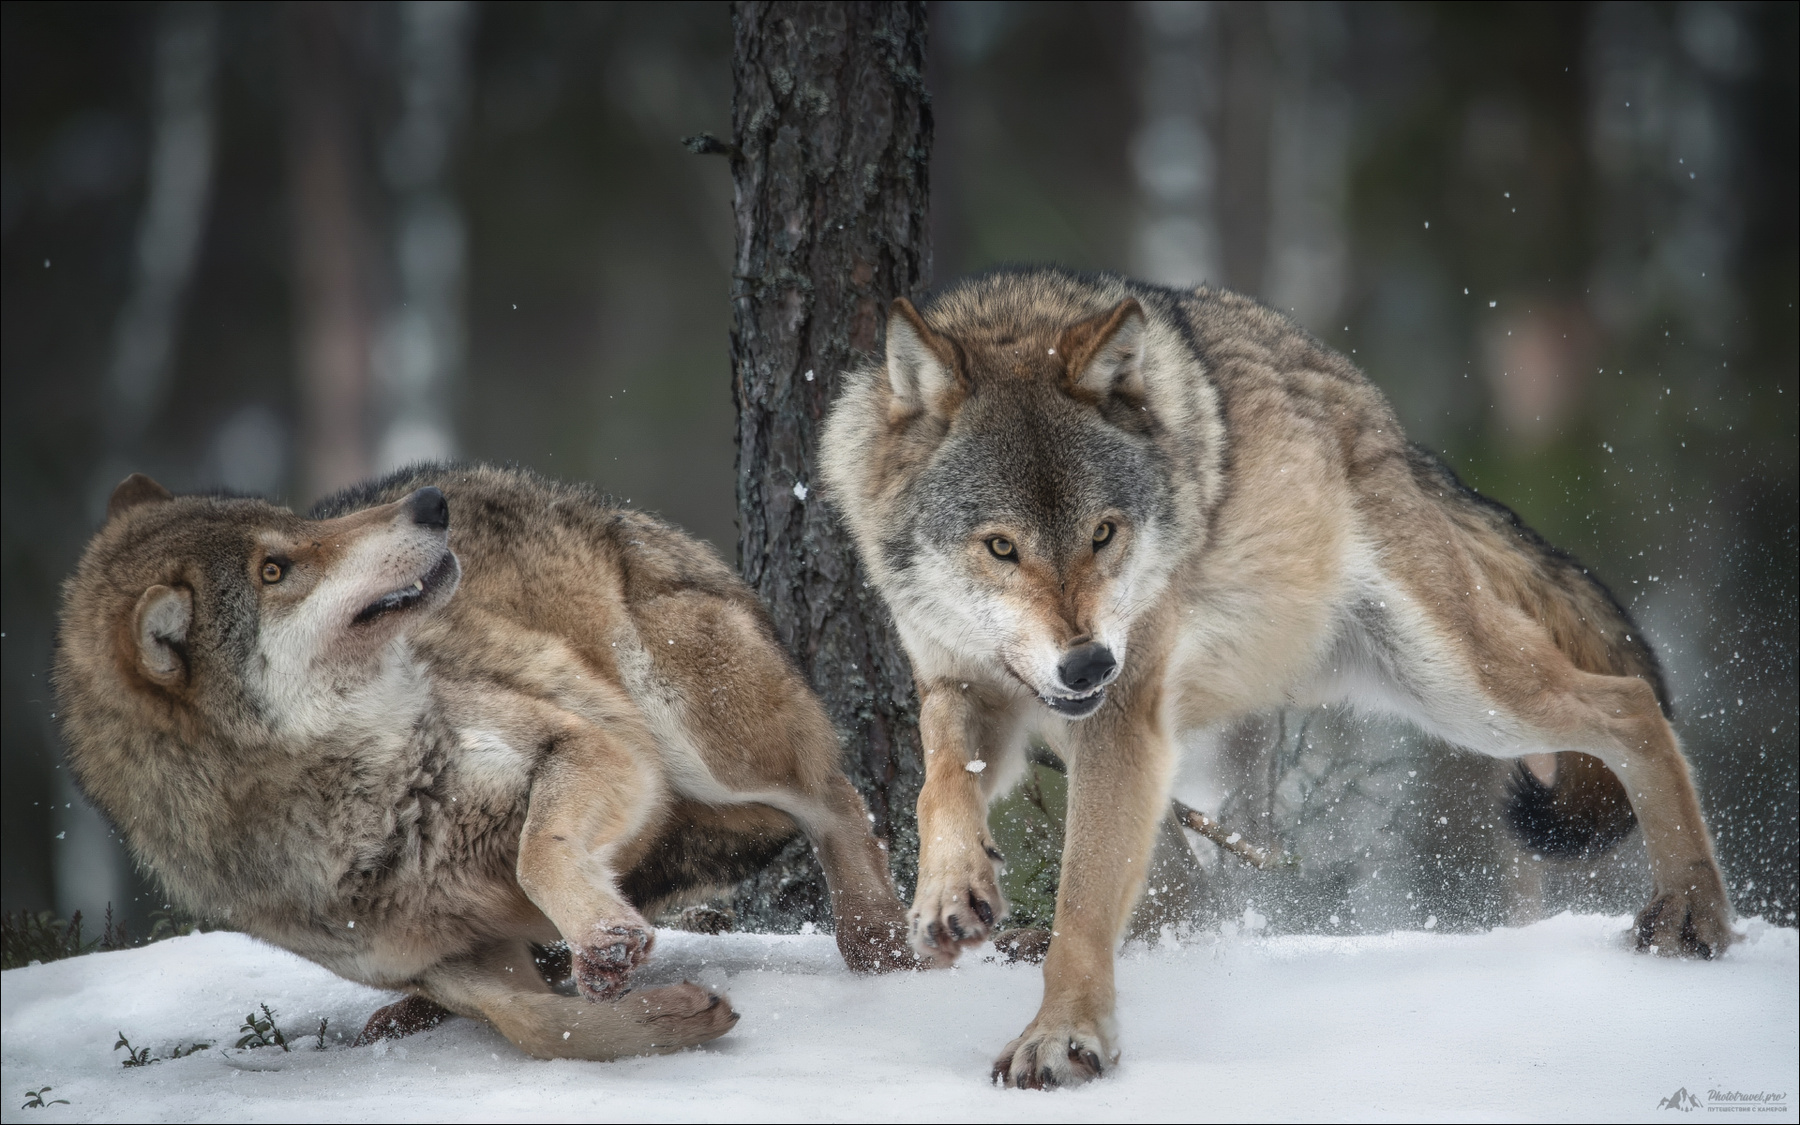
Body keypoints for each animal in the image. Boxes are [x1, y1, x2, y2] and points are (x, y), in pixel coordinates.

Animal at [55, 463, 908, 1061]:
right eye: (276, 569)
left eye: (298, 528)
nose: (430, 504)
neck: (362, 797)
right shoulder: (446, 959)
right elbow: (537, 1024)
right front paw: (668, 1016)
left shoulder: (597, 743)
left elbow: (538, 854)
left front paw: (609, 942)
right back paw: (408, 1015)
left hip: (698, 736)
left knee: (837, 795)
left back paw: (878, 943)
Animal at [819, 267, 1732, 1088]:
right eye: (1001, 546)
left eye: (1104, 533)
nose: (1089, 663)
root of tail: (1377, 413)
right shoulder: (965, 689)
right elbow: (939, 783)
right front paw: (949, 893)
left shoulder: (1120, 718)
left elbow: (1081, 899)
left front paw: (1063, 1035)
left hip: (1465, 691)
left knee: (1631, 704)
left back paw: (1695, 911)